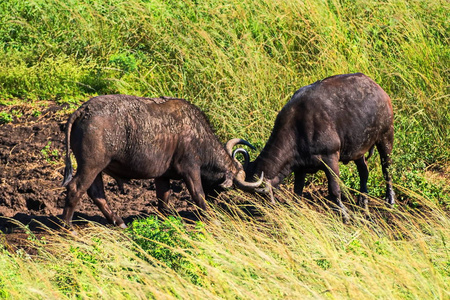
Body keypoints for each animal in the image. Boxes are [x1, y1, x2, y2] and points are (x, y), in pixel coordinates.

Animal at [61, 95, 262, 229]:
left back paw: (118, 222)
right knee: (76, 188)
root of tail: (83, 110)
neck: (198, 134)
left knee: (96, 193)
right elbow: (198, 194)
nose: (215, 198)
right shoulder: (190, 169)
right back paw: (67, 227)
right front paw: (211, 217)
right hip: (91, 165)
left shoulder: (162, 177)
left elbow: (163, 200)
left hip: (95, 168)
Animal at [244, 72, 396, 220]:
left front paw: (344, 215)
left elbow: (334, 190)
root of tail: (378, 89)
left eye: (259, 195)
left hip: (386, 136)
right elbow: (297, 191)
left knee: (387, 168)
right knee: (364, 171)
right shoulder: (300, 167)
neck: (298, 128)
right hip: (358, 149)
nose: (253, 210)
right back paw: (362, 201)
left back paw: (390, 200)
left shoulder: (331, 159)